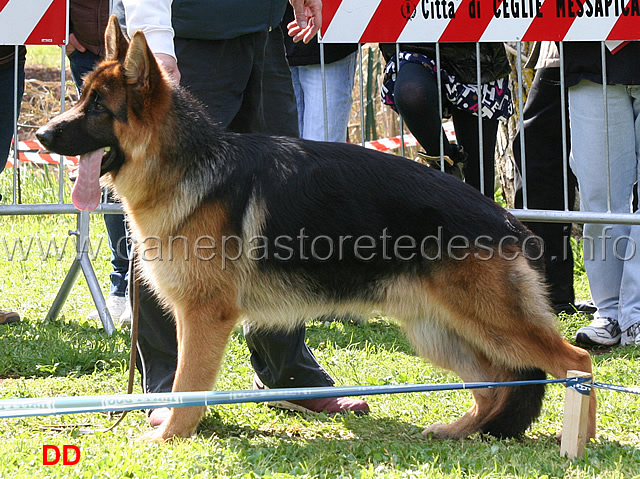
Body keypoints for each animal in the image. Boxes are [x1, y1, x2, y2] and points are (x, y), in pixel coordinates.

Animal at [37, 16, 596, 444]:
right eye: (82, 97)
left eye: (98, 108)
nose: (40, 136)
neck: (187, 164)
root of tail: (505, 219)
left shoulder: (204, 317)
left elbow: (186, 387)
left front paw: (171, 435)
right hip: (439, 331)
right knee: (496, 383)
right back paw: (461, 430)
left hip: (492, 323)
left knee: (576, 362)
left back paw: (578, 441)